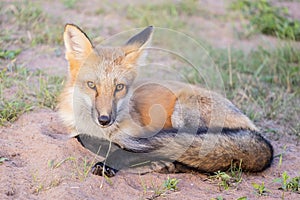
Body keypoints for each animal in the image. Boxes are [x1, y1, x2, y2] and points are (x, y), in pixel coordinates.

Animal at [58, 23, 272, 177]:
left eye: (119, 87)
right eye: (91, 85)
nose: (104, 119)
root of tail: (258, 134)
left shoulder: (140, 136)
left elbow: (125, 151)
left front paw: (109, 164)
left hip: (182, 112)